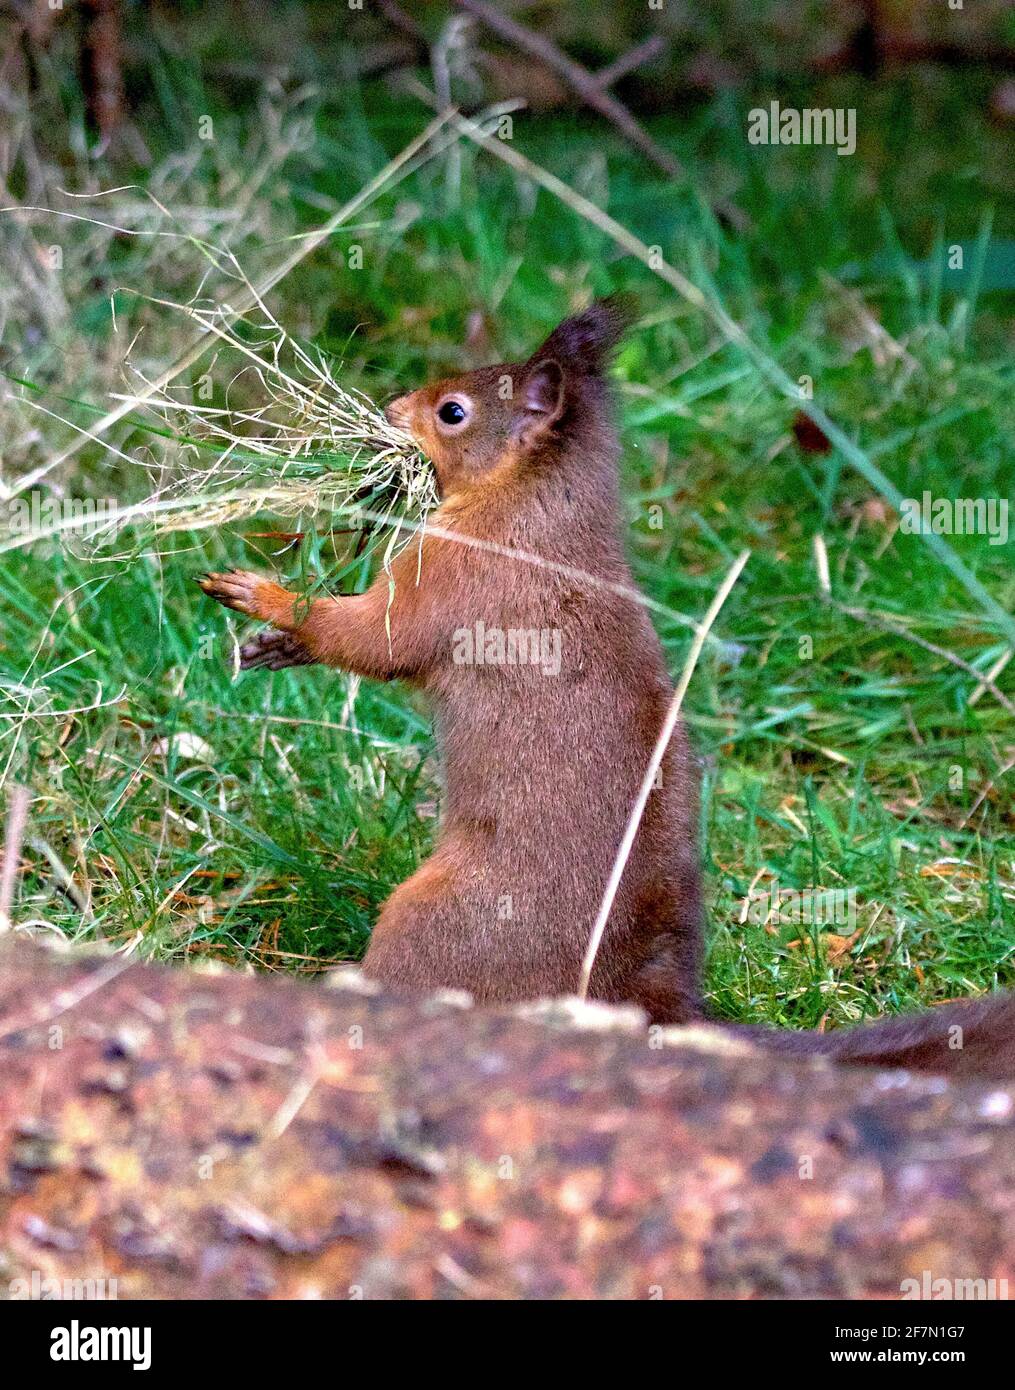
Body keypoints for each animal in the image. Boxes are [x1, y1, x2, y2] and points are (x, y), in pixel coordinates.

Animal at [200, 301, 1012, 1084]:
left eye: (453, 412)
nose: (392, 404)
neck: (533, 510)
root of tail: (638, 998)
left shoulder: (457, 578)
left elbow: (376, 637)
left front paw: (266, 597)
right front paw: (274, 645)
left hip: (435, 919)